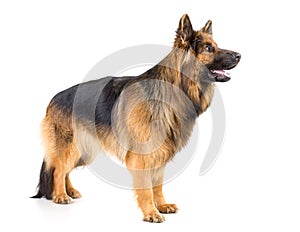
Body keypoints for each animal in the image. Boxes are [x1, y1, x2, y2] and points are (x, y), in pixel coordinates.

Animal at [31, 13, 240, 223]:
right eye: (208, 48)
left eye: (215, 45)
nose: (239, 55)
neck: (172, 90)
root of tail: (53, 99)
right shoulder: (142, 155)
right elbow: (146, 188)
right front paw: (151, 213)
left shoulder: (160, 151)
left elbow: (157, 185)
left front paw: (161, 205)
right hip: (72, 147)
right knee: (58, 169)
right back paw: (60, 195)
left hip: (84, 151)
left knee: (64, 169)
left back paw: (70, 191)